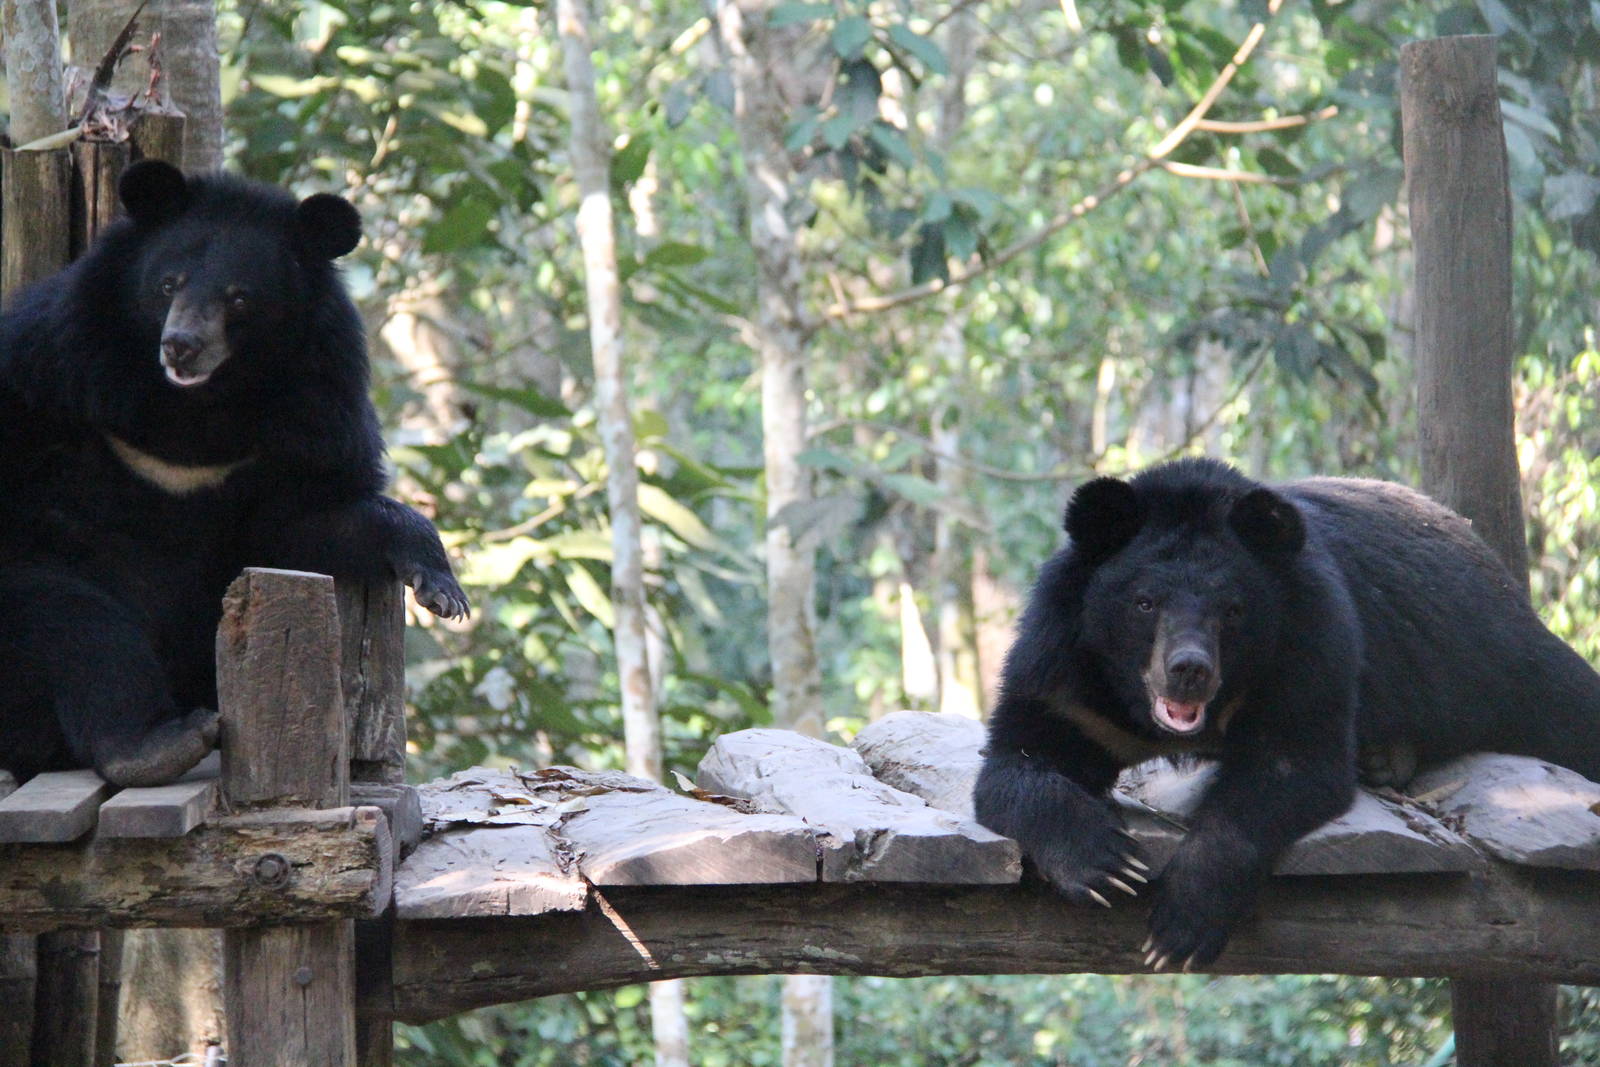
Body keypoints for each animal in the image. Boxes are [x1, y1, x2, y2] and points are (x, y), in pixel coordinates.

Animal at [0, 160, 467, 788]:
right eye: (167, 283)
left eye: (241, 297)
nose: (181, 346)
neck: (199, 407)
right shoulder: (47, 365)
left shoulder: (313, 418)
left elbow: (312, 520)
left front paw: (442, 592)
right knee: (72, 621)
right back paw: (153, 744)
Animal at [973, 457, 1600, 970]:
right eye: (1144, 602)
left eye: (1232, 610)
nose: (1189, 670)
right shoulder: (1066, 672)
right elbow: (1020, 761)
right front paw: (1106, 867)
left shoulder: (1308, 646)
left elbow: (1289, 768)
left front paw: (1179, 926)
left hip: (1490, 654)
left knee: (1568, 708)